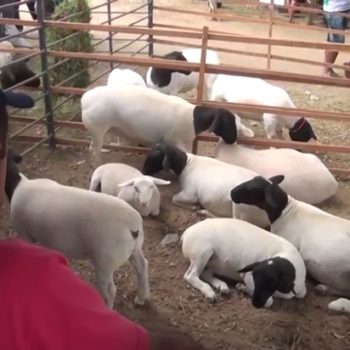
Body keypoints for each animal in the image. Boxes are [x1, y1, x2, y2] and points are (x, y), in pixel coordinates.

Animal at [5, 153, 150, 308]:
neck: (18, 185)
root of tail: (132, 223)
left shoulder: (24, 232)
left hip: (105, 261)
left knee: (110, 290)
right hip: (135, 249)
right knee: (142, 267)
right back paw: (141, 298)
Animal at [80, 85, 237, 165]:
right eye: (228, 121)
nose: (233, 140)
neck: (194, 119)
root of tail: (85, 99)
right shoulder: (173, 139)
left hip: (95, 130)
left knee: (91, 148)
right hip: (99, 128)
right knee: (94, 152)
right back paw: (98, 165)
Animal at [142, 141, 270, 228]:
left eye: (156, 155)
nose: (143, 171)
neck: (187, 163)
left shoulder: (190, 194)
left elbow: (174, 199)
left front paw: (194, 207)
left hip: (240, 205)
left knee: (235, 220)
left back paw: (204, 212)